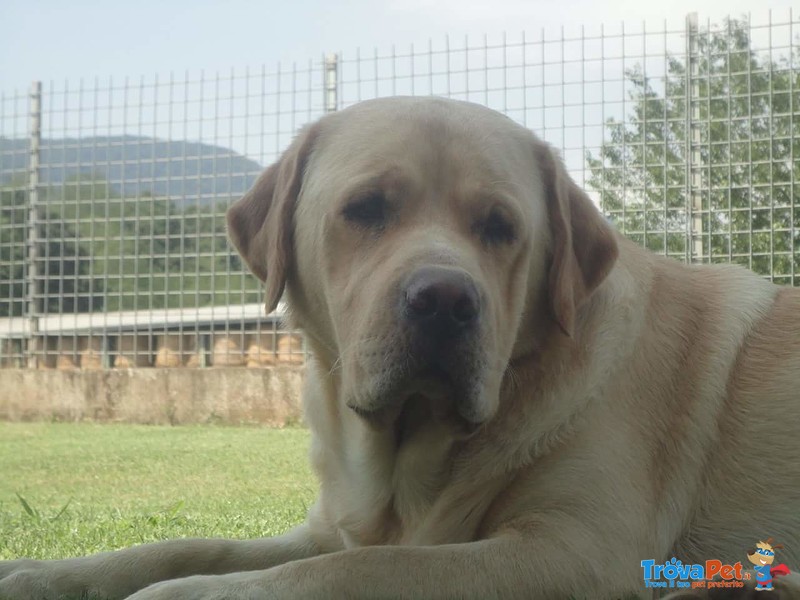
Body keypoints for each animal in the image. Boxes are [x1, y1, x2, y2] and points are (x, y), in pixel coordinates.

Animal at [1, 96, 800, 596]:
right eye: (365, 210)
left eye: (500, 226)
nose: (444, 300)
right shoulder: (329, 526)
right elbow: (189, 545)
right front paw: (43, 573)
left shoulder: (576, 551)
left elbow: (364, 572)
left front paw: (187, 595)